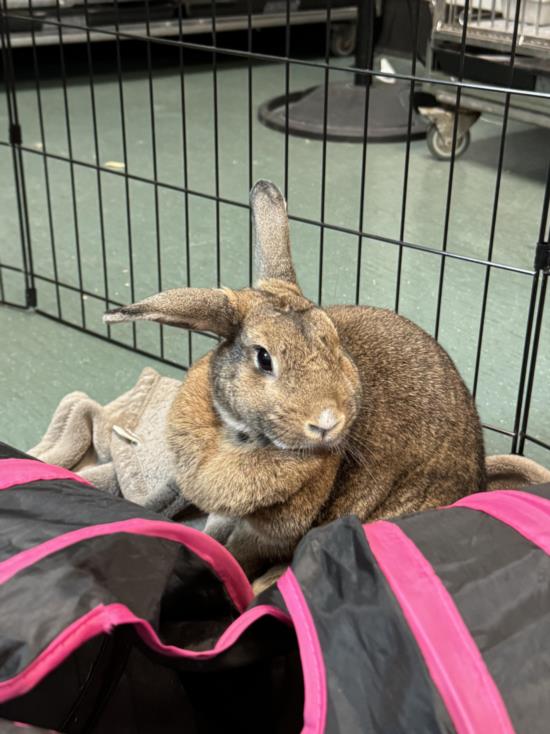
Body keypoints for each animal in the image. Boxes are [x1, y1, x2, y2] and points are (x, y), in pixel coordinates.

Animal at [104, 180, 488, 580]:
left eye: (334, 343)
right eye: (263, 357)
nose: (326, 422)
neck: (242, 437)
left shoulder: (266, 535)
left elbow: (236, 554)